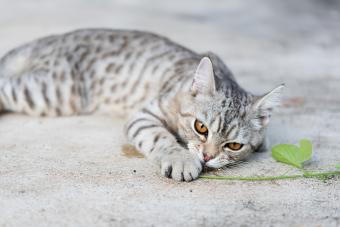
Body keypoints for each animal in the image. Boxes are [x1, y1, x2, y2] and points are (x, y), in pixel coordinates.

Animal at [0, 28, 284, 181]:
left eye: (234, 145)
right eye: (201, 127)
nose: (207, 156)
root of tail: (50, 40)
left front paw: (264, 139)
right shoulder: (145, 115)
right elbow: (161, 137)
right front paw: (181, 158)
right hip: (53, 92)